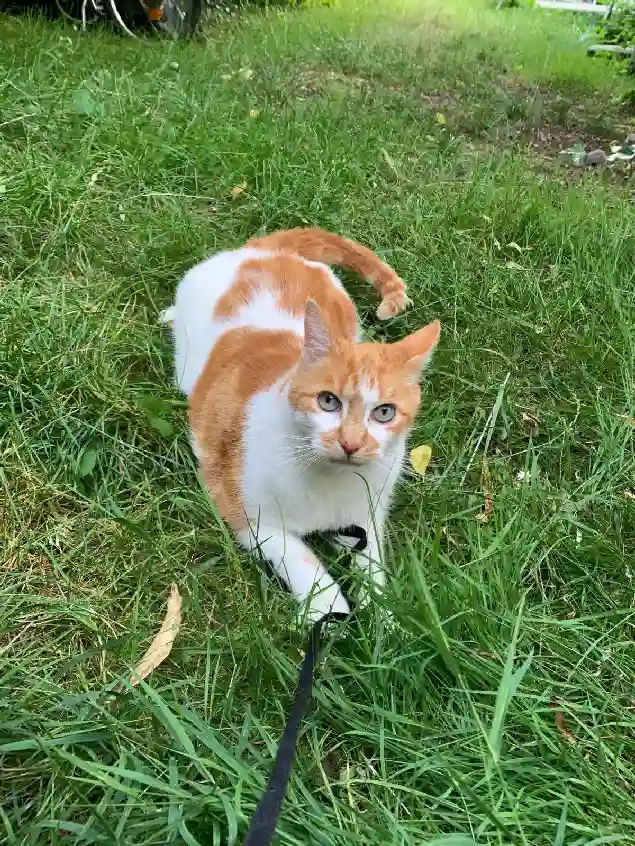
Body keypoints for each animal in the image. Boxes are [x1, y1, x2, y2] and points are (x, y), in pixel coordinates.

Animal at [166, 229, 440, 628]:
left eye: (385, 413)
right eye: (328, 402)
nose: (350, 442)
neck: (331, 483)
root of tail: (265, 252)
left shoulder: (366, 517)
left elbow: (372, 564)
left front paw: (382, 617)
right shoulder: (244, 511)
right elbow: (298, 556)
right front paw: (328, 610)